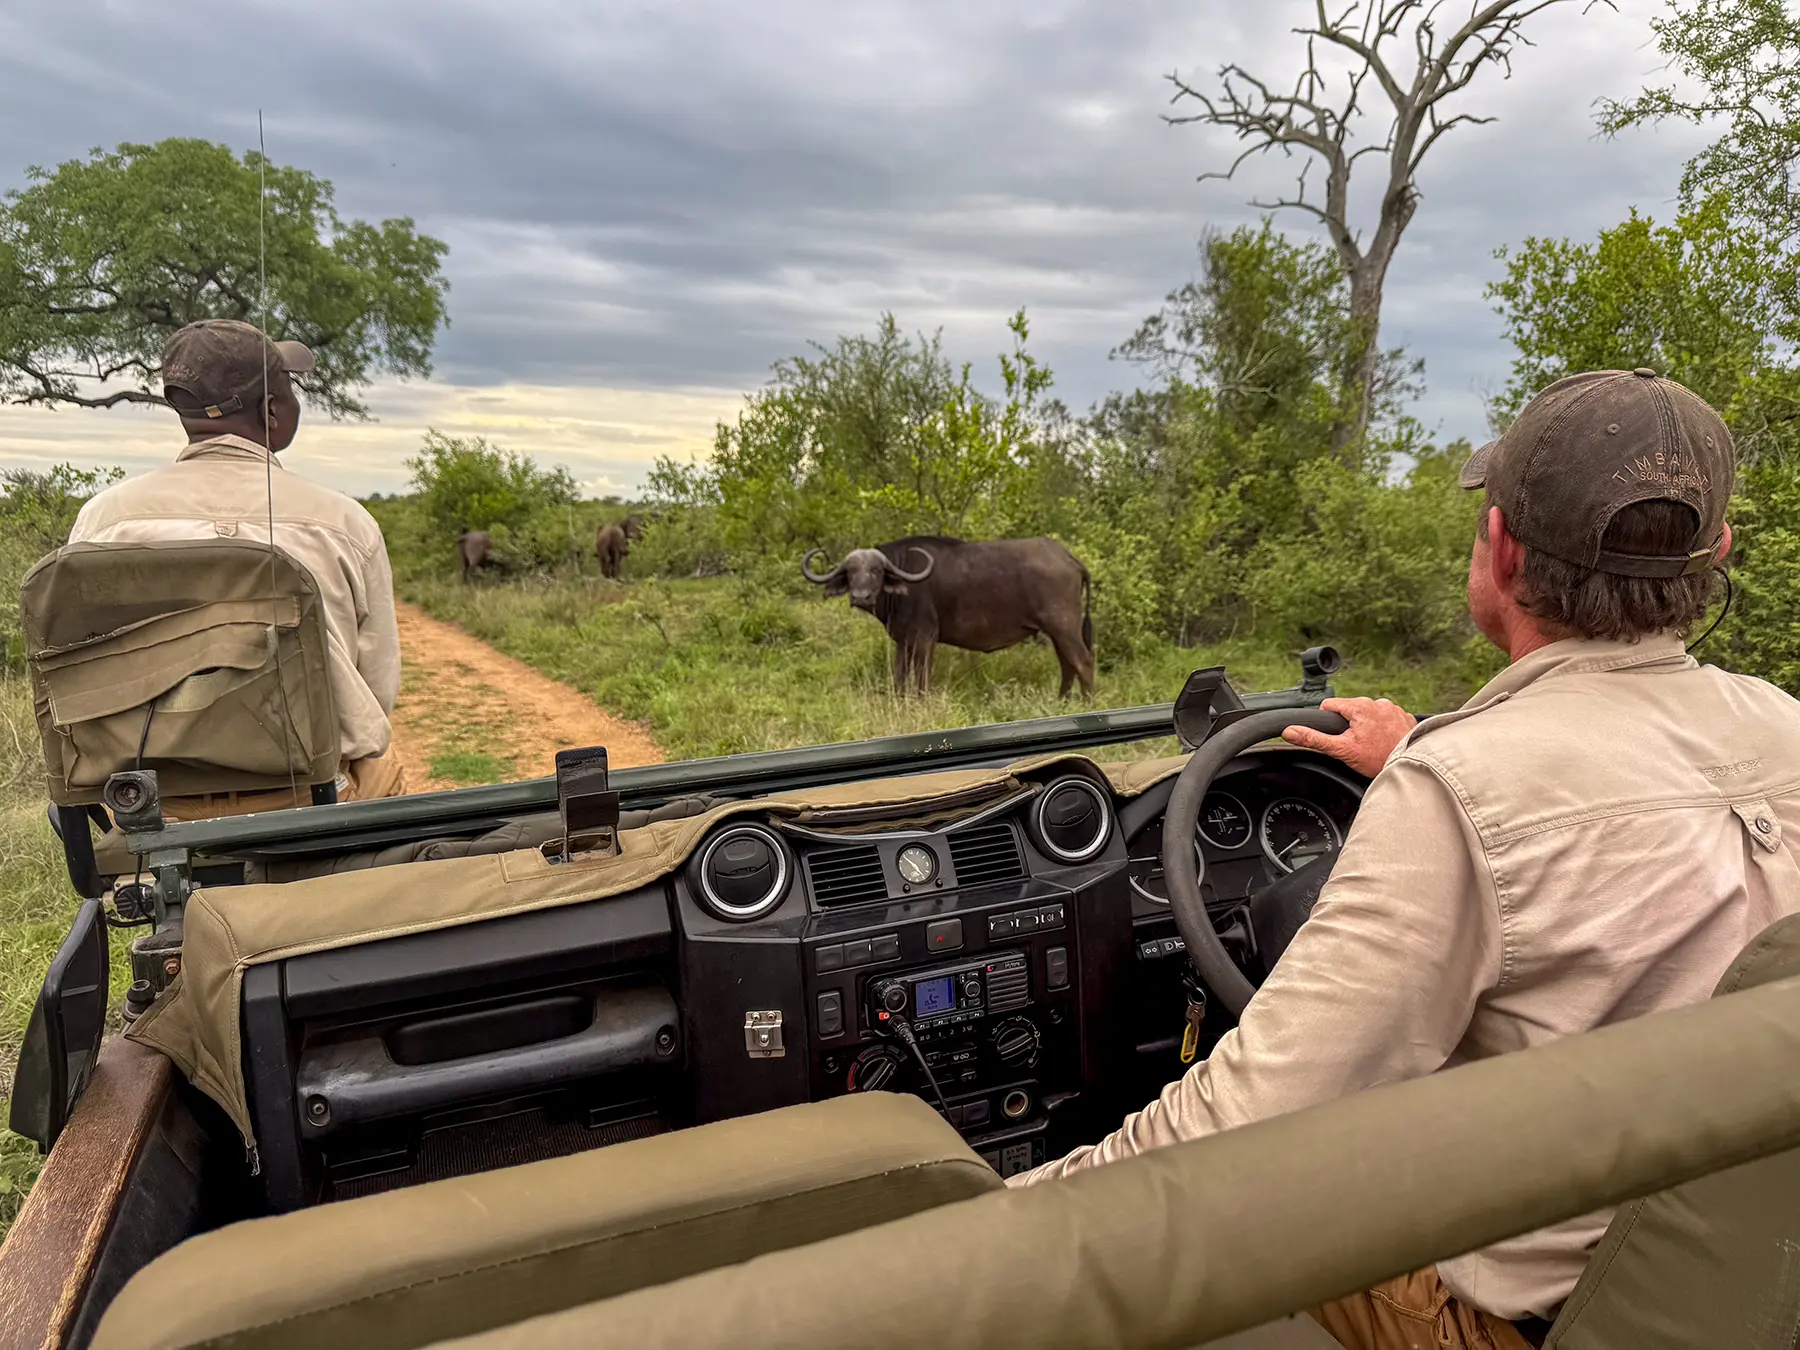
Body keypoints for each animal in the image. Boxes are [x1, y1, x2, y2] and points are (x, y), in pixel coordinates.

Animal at [801, 536, 1094, 697]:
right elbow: (899, 677)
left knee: (1083, 662)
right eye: (851, 572)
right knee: (1067, 665)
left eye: (876, 571)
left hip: (1064, 627)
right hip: (1056, 632)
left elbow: (921, 679)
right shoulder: (903, 641)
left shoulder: (925, 638)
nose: (861, 596)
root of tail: (1069, 558)